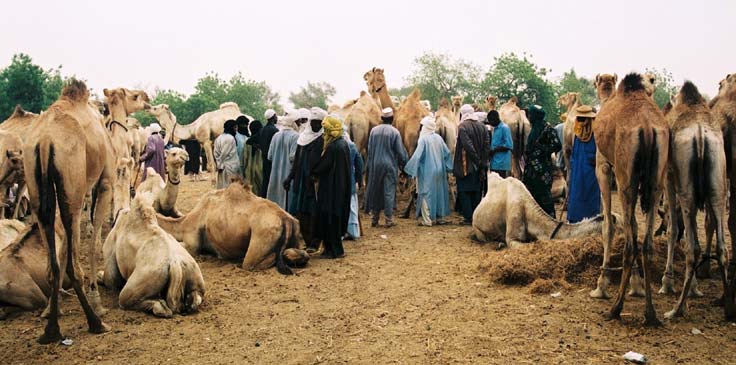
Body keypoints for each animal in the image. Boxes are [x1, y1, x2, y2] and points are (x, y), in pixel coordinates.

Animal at [22, 79, 113, 342]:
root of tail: (44, 142)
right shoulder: (105, 182)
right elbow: (94, 243)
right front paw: (97, 302)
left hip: (37, 189)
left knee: (52, 257)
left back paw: (50, 330)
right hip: (71, 188)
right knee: (73, 260)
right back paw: (95, 322)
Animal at [155, 181, 308, 274]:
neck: (181, 224)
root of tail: (286, 220)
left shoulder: (192, 240)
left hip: (262, 234)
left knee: (253, 262)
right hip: (295, 232)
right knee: (300, 253)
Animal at [588, 72, 668, 326]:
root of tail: (648, 128)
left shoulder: (603, 168)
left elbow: (609, 225)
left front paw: (600, 286)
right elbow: (633, 225)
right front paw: (637, 285)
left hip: (625, 181)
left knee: (630, 244)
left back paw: (615, 309)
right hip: (655, 182)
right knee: (647, 244)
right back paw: (651, 314)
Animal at [660, 80, 728, 318]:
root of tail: (700, 134)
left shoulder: (669, 179)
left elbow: (672, 229)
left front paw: (667, 282)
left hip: (686, 191)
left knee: (693, 247)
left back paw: (677, 309)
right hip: (718, 186)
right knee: (722, 248)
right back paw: (727, 305)